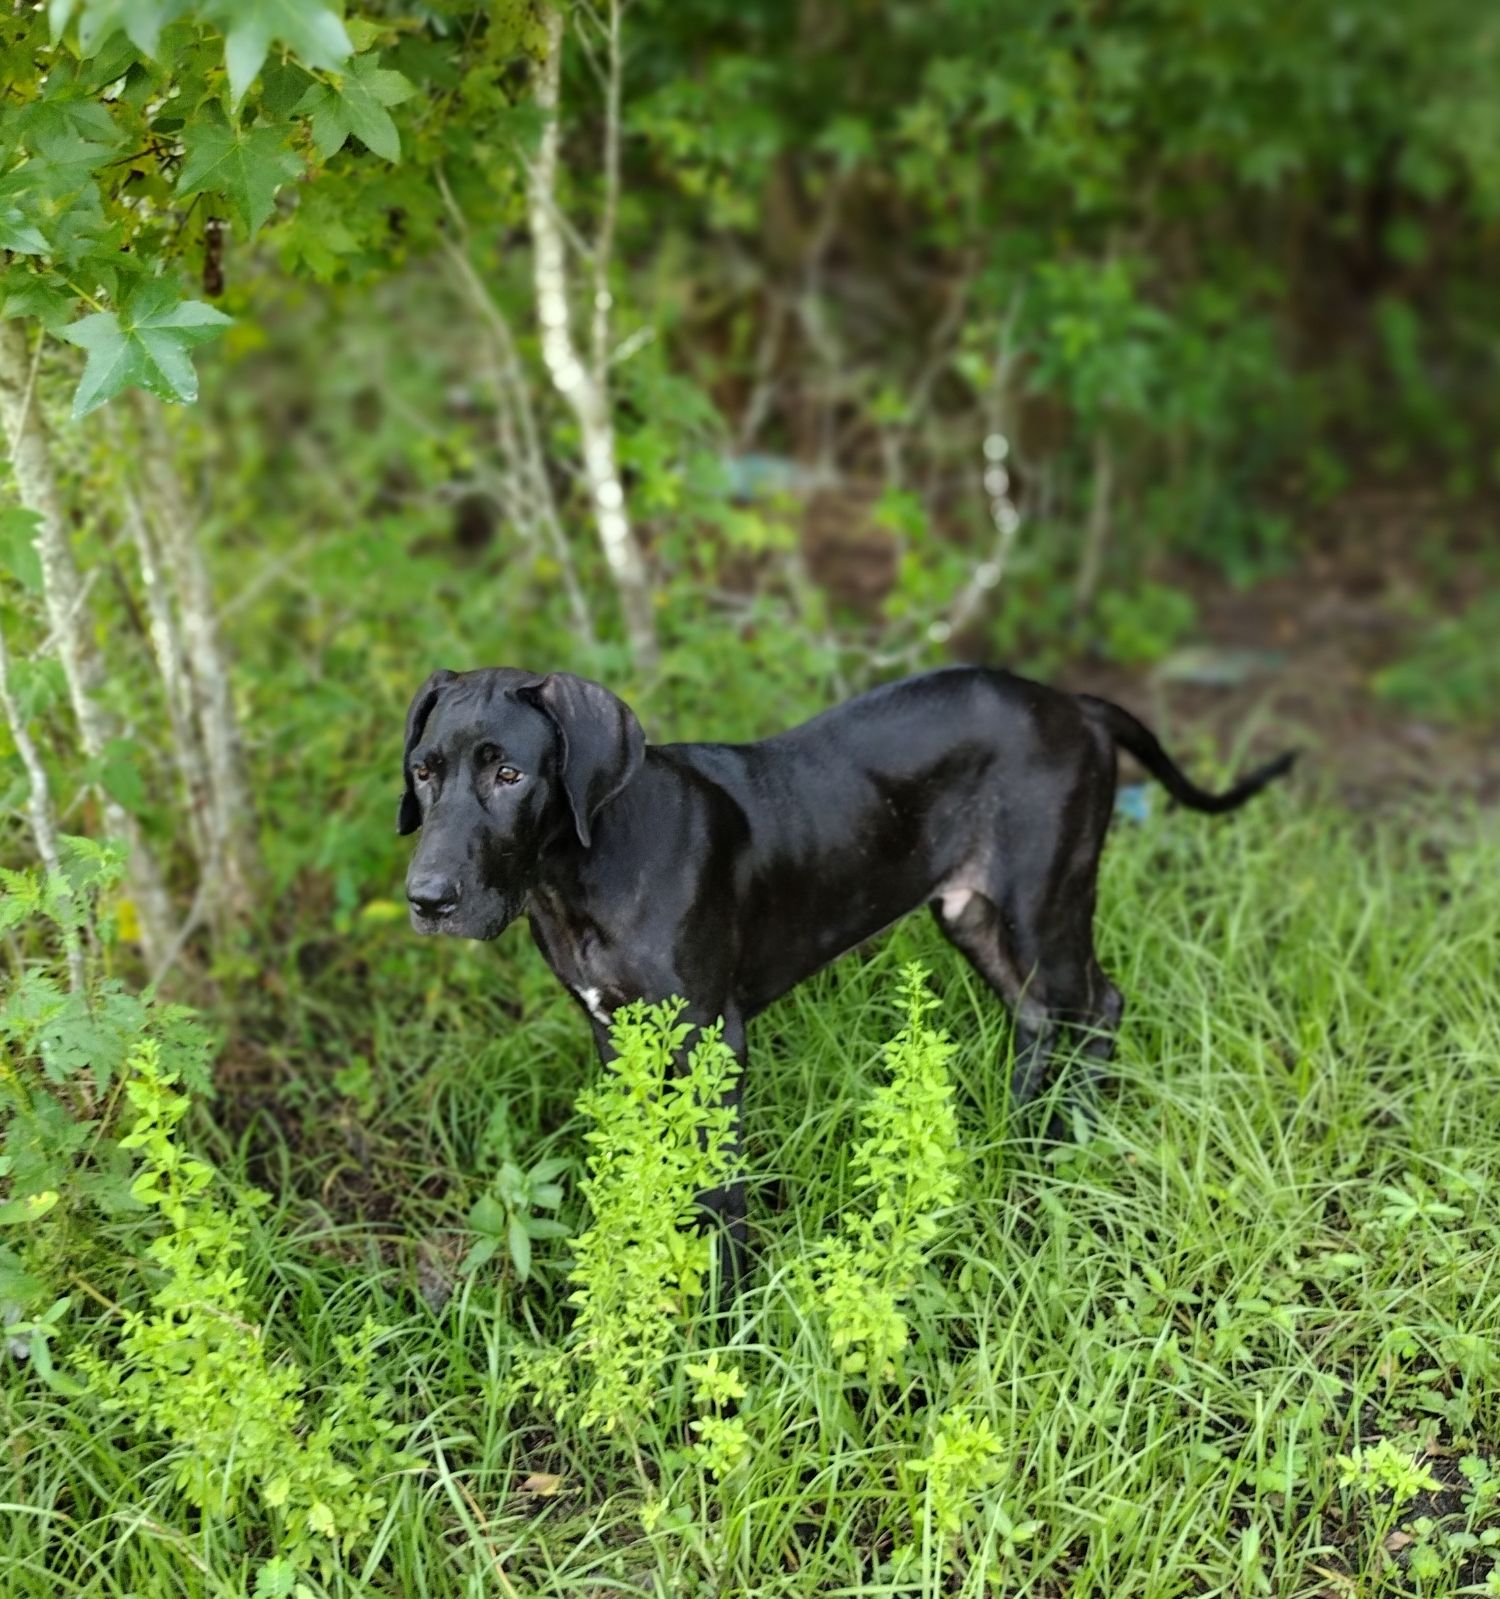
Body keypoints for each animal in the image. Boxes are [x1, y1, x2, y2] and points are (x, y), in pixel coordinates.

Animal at [402, 668, 1292, 1279]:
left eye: (510, 774)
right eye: (423, 771)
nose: (427, 899)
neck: (579, 875)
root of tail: (1073, 702)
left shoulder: (710, 1039)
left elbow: (719, 1188)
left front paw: (723, 1313)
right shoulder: (617, 1035)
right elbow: (643, 1156)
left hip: (1045, 903)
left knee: (1098, 1005)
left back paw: (1070, 1140)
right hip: (973, 912)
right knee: (1038, 1014)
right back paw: (1016, 1142)